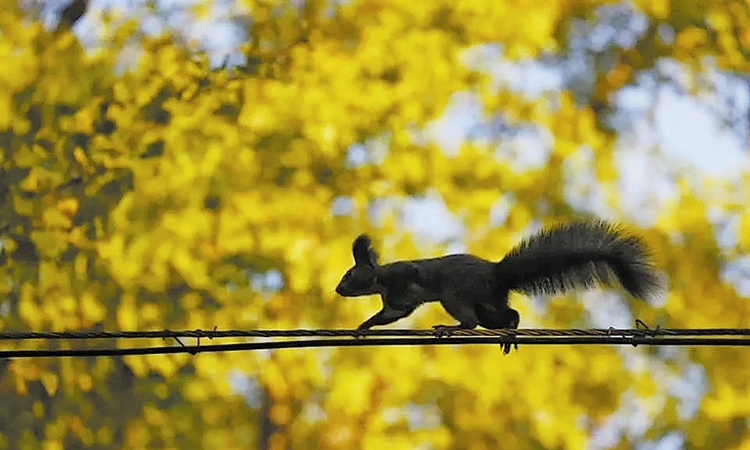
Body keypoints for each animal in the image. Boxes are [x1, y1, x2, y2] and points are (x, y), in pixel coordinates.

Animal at [334, 220, 664, 354]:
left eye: (349, 273)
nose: (338, 290)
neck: (381, 280)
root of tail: (497, 274)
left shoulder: (404, 274)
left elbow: (413, 276)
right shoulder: (395, 302)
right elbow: (390, 314)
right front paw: (363, 326)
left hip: (455, 295)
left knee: (471, 321)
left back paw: (449, 328)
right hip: (487, 304)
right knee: (505, 315)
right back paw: (509, 331)